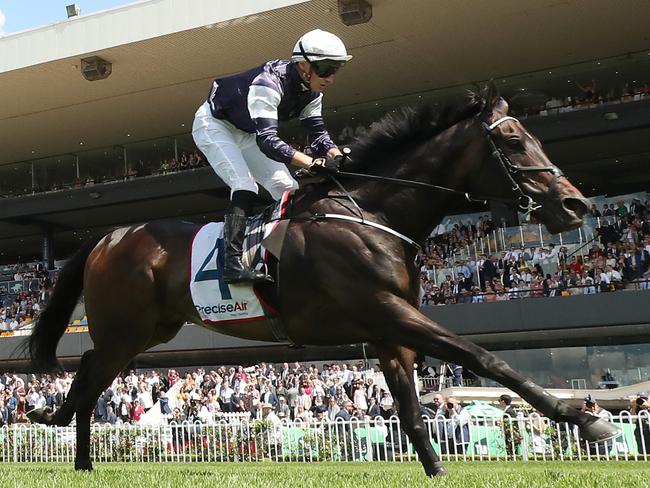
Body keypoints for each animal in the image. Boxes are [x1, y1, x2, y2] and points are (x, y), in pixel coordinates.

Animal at [25, 86, 616, 474]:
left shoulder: (390, 331)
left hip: (149, 332)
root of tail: (109, 235)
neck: (371, 215)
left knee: (92, 375)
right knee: (88, 373)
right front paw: (583, 419)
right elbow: (485, 358)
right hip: (126, 329)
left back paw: (74, 447)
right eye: (514, 142)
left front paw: (437, 471)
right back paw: (65, 435)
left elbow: (411, 411)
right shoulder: (387, 310)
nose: (576, 204)